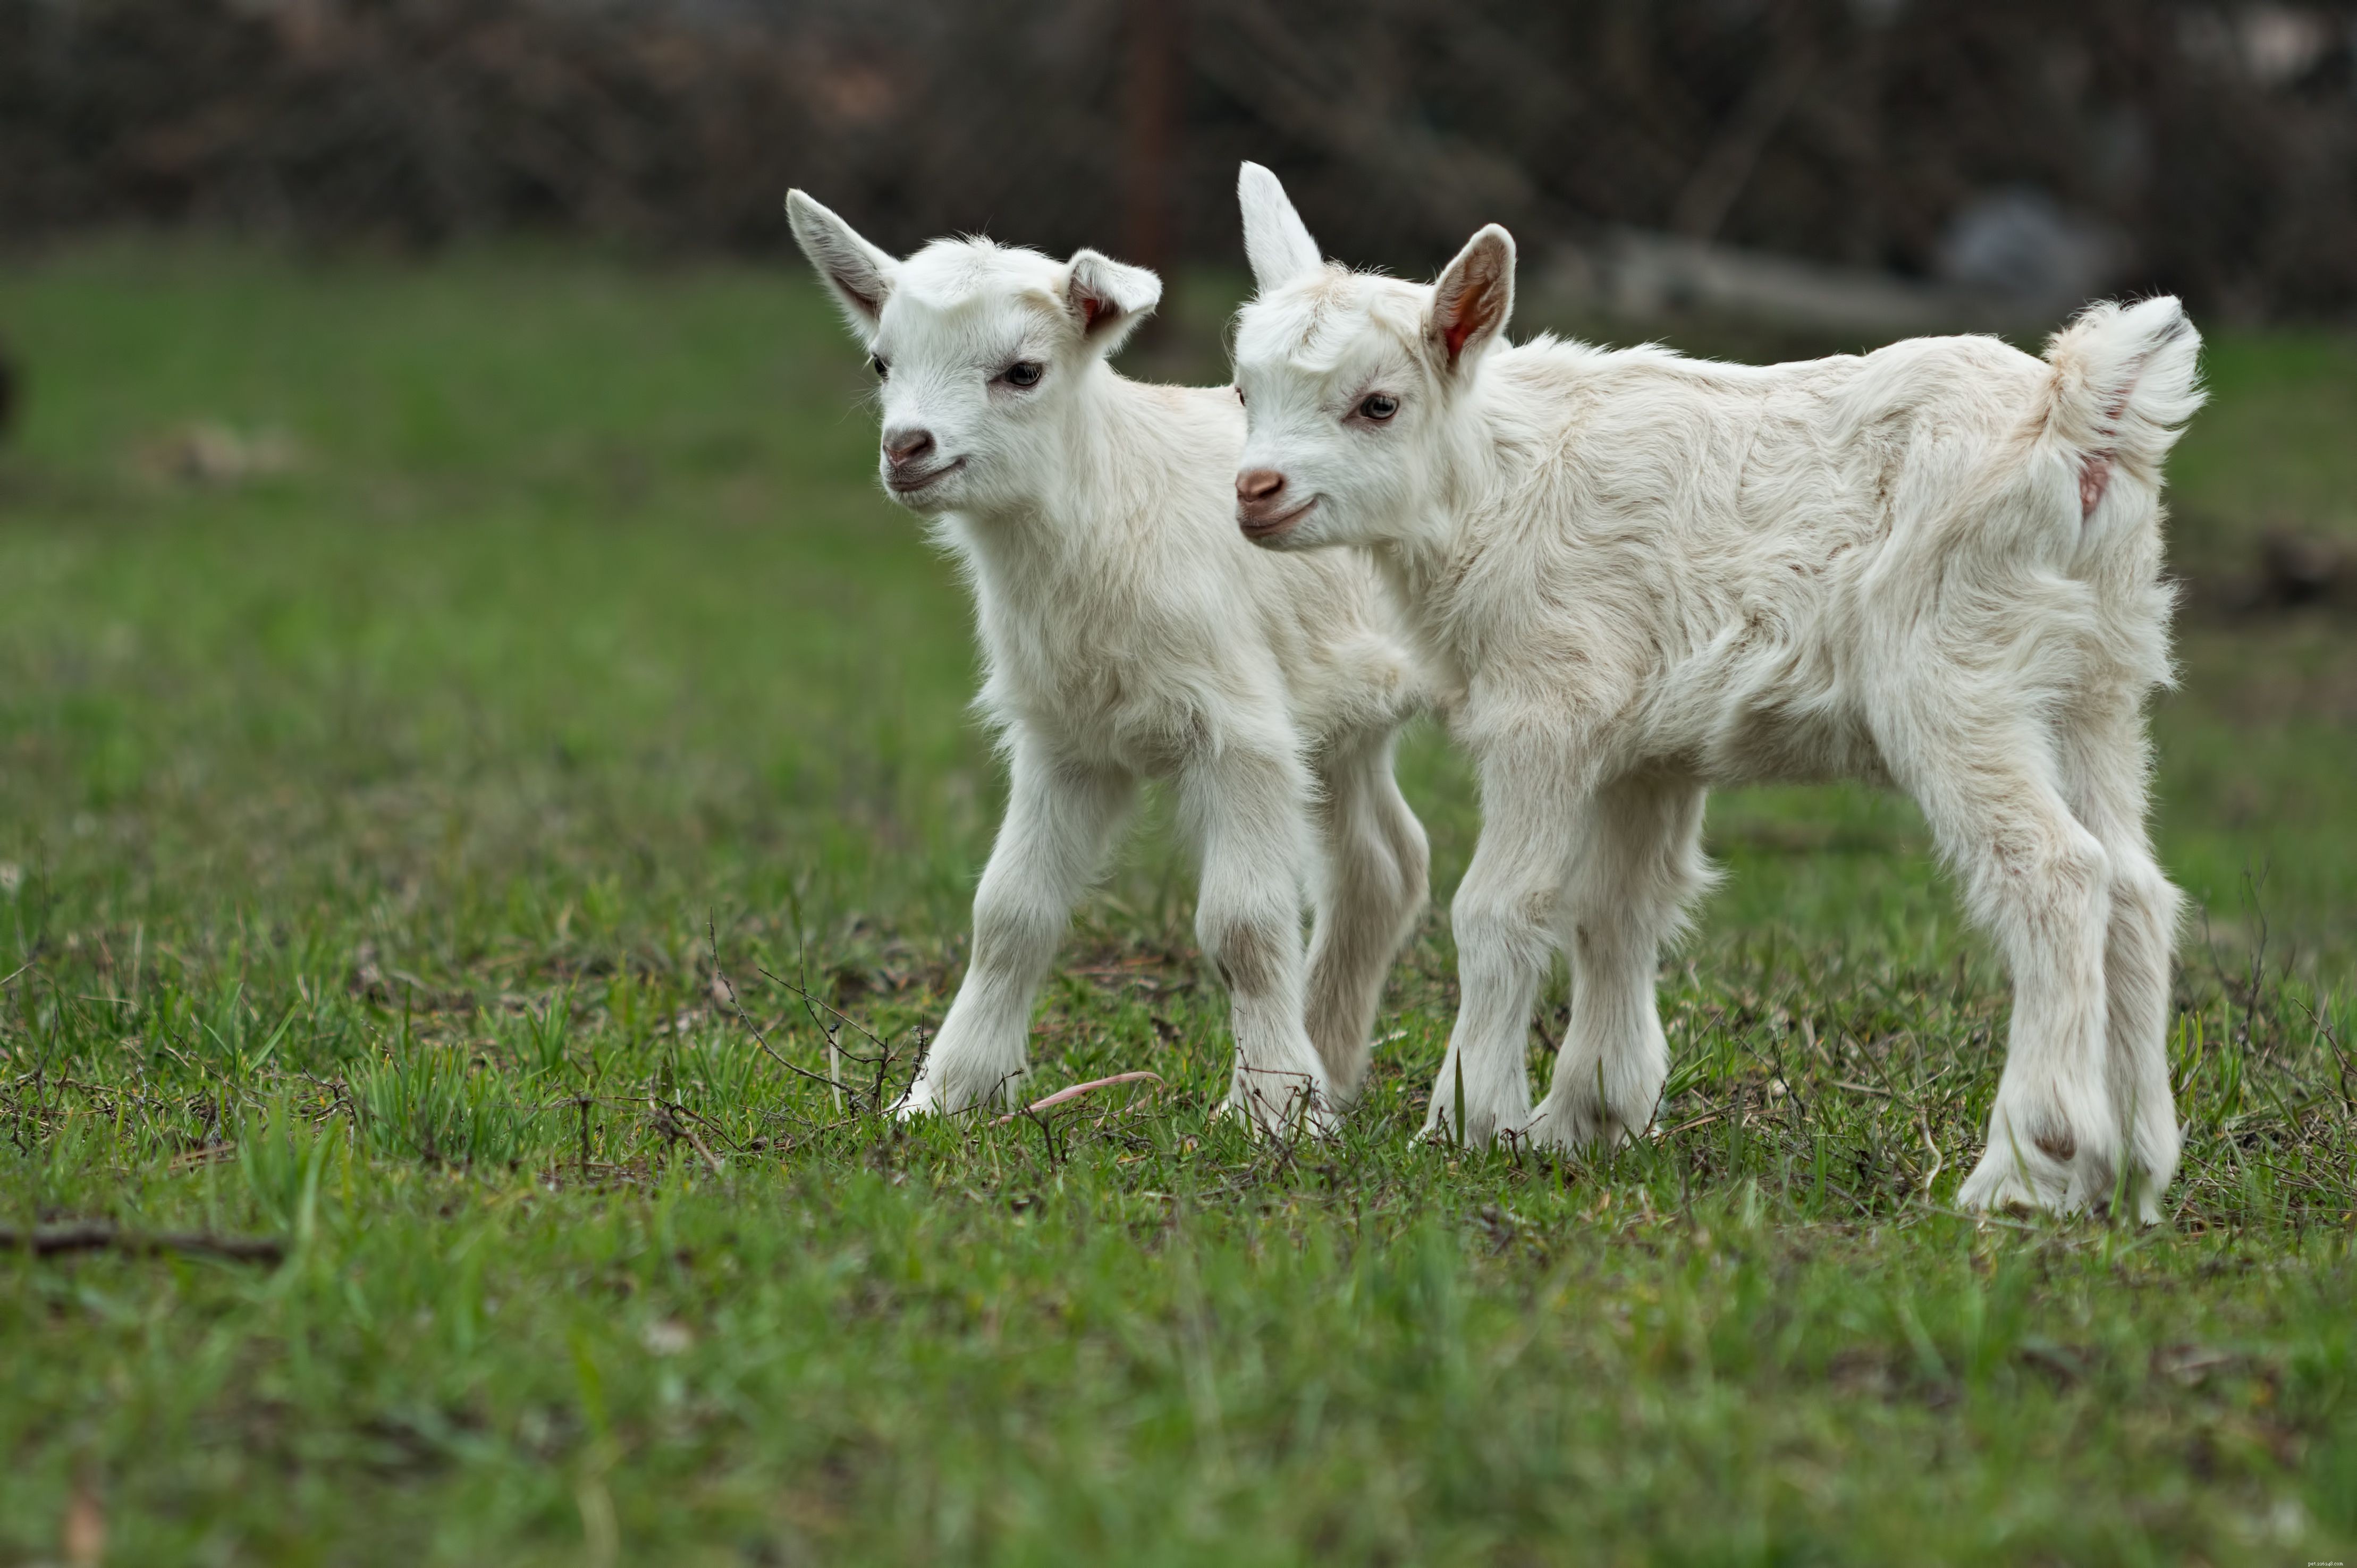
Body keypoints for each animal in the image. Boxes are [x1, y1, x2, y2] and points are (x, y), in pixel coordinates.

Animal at [787, 190, 1431, 1130]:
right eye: (880, 361)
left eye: (1022, 371)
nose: (907, 447)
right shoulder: (1066, 740)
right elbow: (1008, 913)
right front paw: (942, 1094)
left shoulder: (1239, 731)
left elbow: (1242, 925)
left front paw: (1272, 1111)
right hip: (1340, 706)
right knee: (1382, 864)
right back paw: (1337, 1064)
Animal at [1226, 164, 2203, 1217]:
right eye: (1242, 389)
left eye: (1377, 404)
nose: (1255, 489)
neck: (1494, 484)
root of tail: (2077, 423)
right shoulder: (1648, 745)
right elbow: (1617, 907)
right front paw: (1587, 1119)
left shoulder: (1547, 699)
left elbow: (1499, 906)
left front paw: (1466, 1124)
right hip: (2101, 680)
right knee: (2135, 886)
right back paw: (2132, 1168)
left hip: (1956, 671)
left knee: (2057, 870)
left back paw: (2027, 1166)